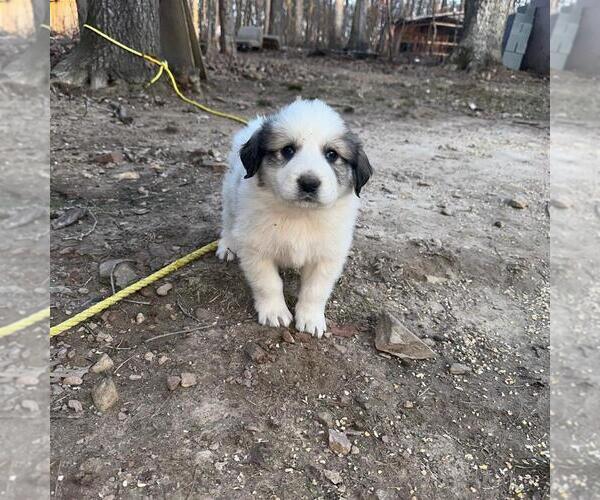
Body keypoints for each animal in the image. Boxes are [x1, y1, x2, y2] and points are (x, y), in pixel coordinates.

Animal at [218, 99, 372, 338]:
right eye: (288, 150)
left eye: (332, 154)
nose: (309, 183)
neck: (300, 214)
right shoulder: (255, 248)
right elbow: (268, 283)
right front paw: (275, 311)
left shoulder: (327, 255)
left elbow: (315, 290)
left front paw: (310, 318)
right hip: (230, 194)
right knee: (227, 220)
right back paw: (227, 246)